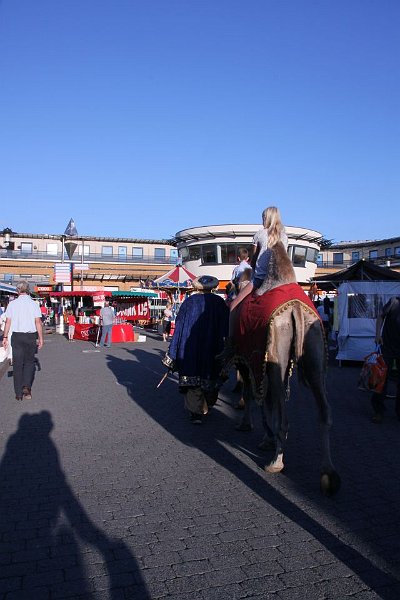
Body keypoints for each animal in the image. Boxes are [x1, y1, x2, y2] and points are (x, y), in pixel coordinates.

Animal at [225, 241, 340, 494]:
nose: (227, 294)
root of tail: (295, 308)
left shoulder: (249, 360)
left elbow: (253, 395)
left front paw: (249, 426)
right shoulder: (265, 362)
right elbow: (266, 400)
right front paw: (265, 438)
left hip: (278, 347)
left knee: (282, 414)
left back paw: (276, 462)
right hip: (314, 349)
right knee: (324, 411)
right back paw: (328, 474)